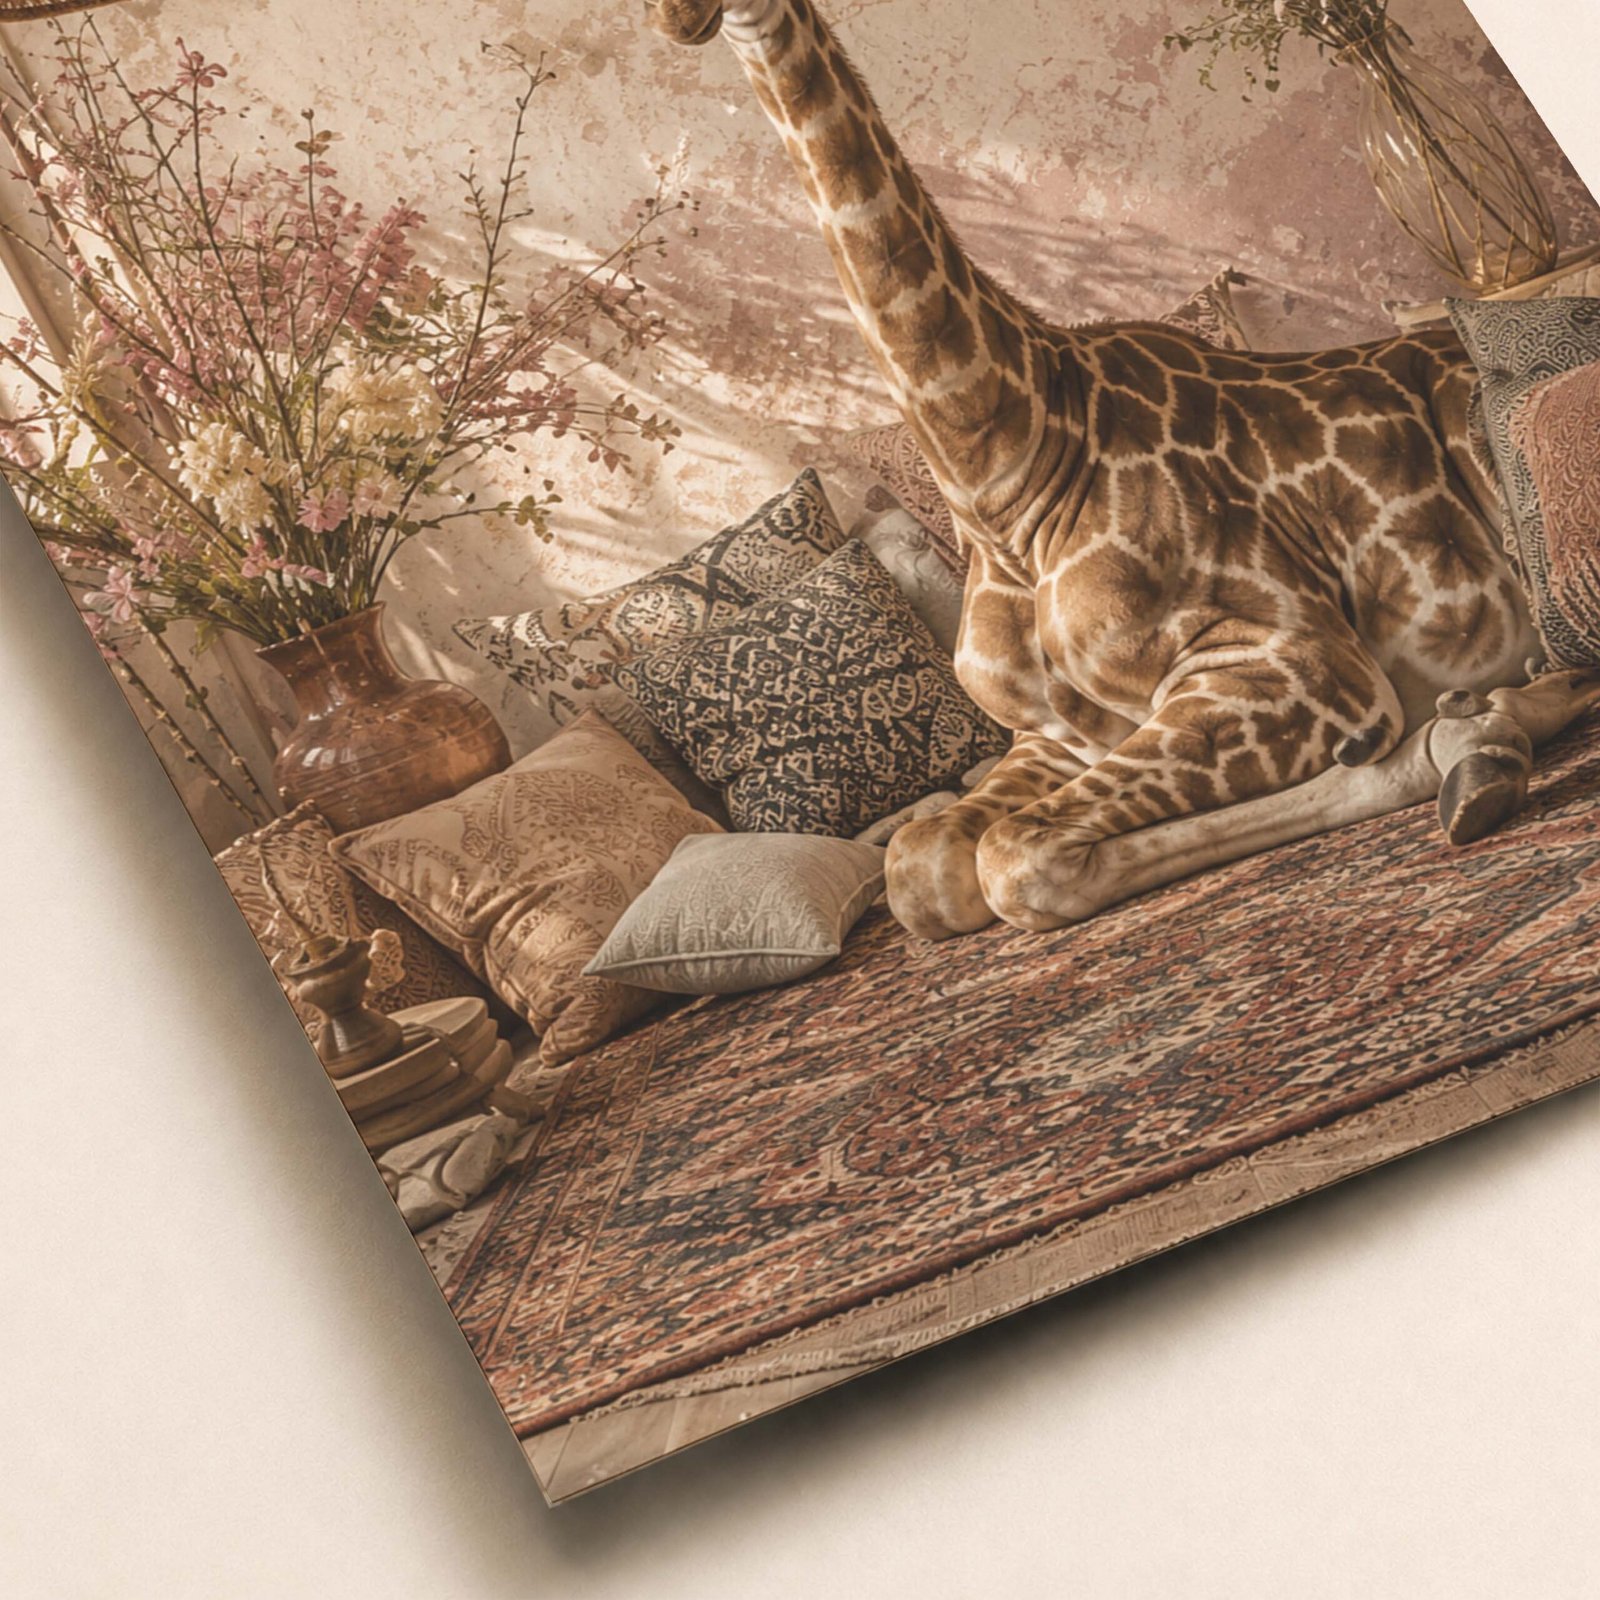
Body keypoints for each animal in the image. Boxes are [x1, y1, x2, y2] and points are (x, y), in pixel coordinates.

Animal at [644, 0, 1600, 938]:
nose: (675, 18)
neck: (1005, 476)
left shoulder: (1297, 665)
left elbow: (1013, 861)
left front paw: (1471, 739)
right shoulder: (1052, 735)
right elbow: (921, 868)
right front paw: (1477, 734)